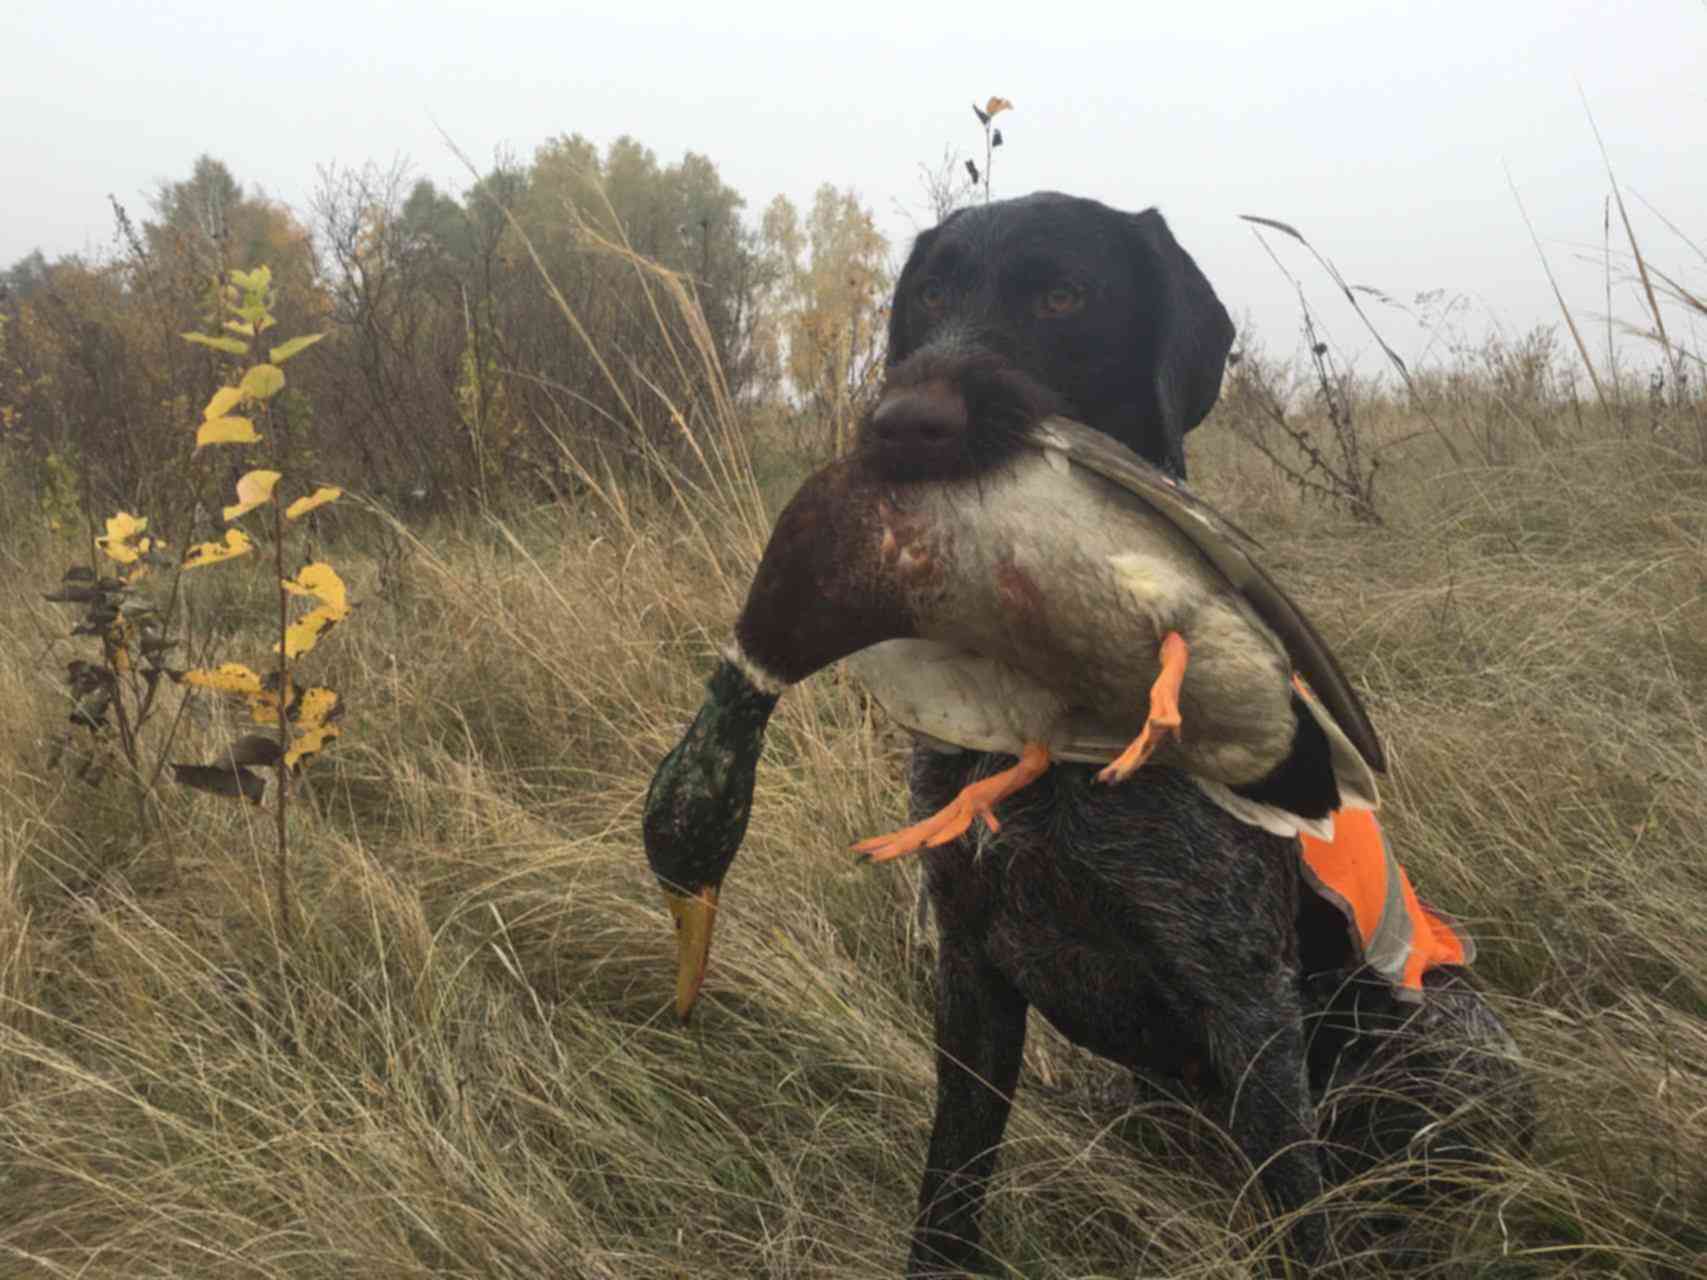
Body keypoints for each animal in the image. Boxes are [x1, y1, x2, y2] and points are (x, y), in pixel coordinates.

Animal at [880, 187, 1536, 1276]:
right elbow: (948, 1188)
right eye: (930, 294)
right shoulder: (970, 965)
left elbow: (1296, 1222)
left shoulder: (1246, 997)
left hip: (1442, 1031)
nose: (899, 424)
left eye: (1063, 296)